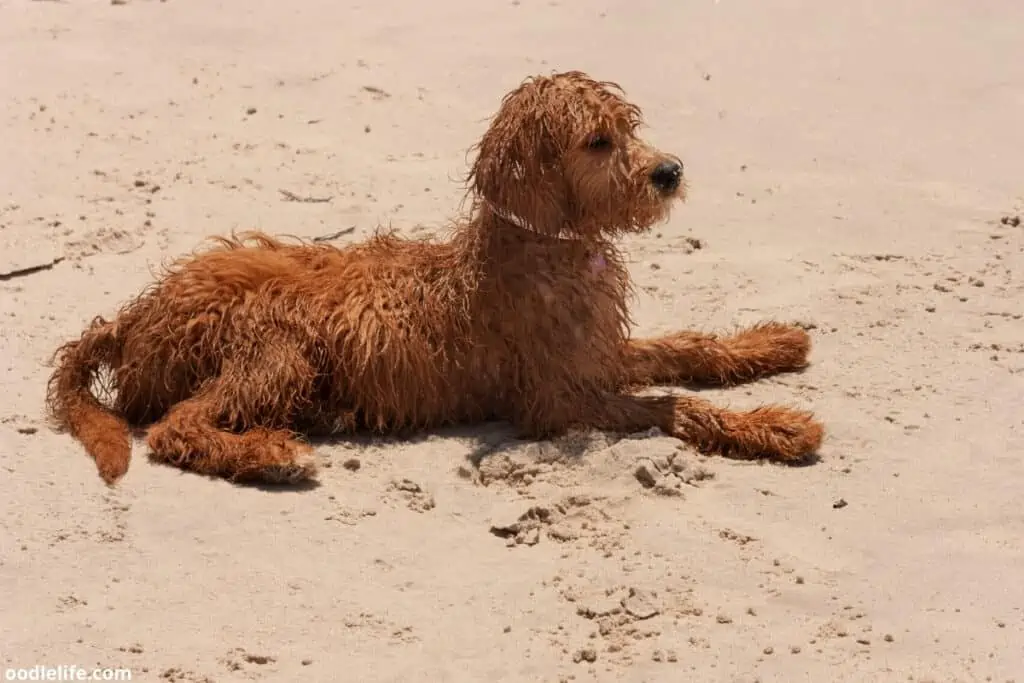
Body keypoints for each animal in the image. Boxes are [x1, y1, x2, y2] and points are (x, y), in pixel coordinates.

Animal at [46, 70, 823, 485]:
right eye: (598, 142)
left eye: (629, 128)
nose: (670, 172)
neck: (544, 245)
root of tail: (131, 317)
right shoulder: (554, 399)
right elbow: (671, 402)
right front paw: (776, 425)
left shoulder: (597, 353)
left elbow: (689, 348)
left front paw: (771, 344)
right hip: (275, 343)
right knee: (175, 428)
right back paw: (269, 453)